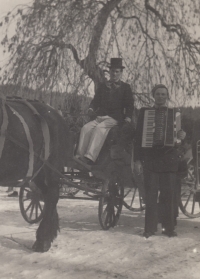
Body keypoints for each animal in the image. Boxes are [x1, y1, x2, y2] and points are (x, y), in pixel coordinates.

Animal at [0, 98, 69, 254]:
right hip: (38, 171)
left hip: (52, 167)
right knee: (46, 195)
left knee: (52, 195)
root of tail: (57, 114)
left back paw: (42, 240)